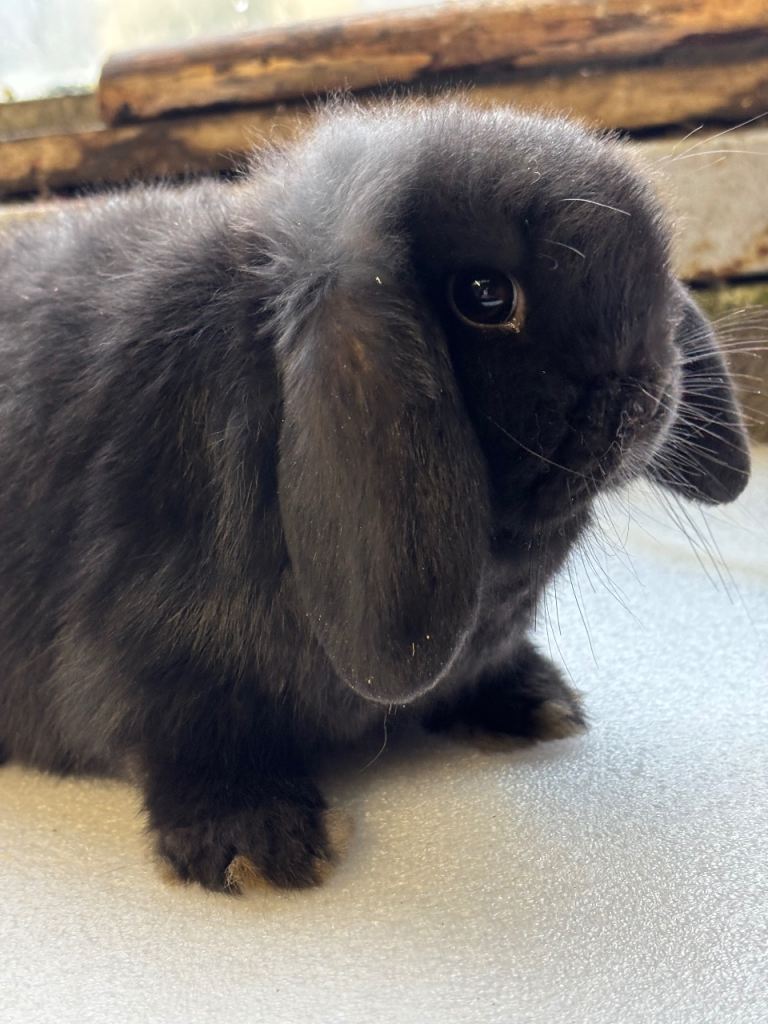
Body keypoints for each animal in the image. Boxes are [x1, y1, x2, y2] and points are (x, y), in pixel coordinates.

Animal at [0, 99, 750, 892]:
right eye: (484, 295)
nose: (643, 398)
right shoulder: (145, 657)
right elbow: (184, 738)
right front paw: (256, 843)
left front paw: (534, 701)